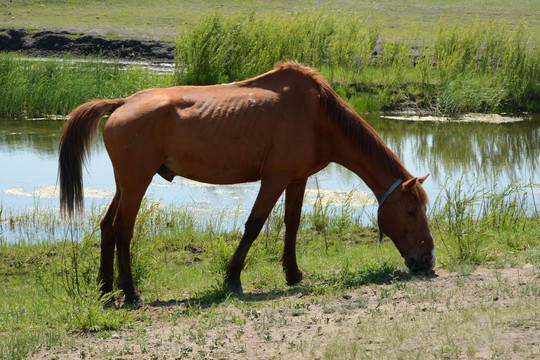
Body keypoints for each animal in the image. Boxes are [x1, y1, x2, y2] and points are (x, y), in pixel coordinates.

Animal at [59, 62, 434, 304]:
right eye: (411, 211)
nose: (428, 260)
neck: (319, 116)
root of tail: (122, 103)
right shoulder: (274, 179)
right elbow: (254, 225)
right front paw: (232, 278)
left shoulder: (297, 179)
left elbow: (293, 223)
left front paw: (293, 273)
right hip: (137, 182)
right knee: (123, 230)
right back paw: (130, 291)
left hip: (125, 184)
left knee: (107, 226)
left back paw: (105, 288)